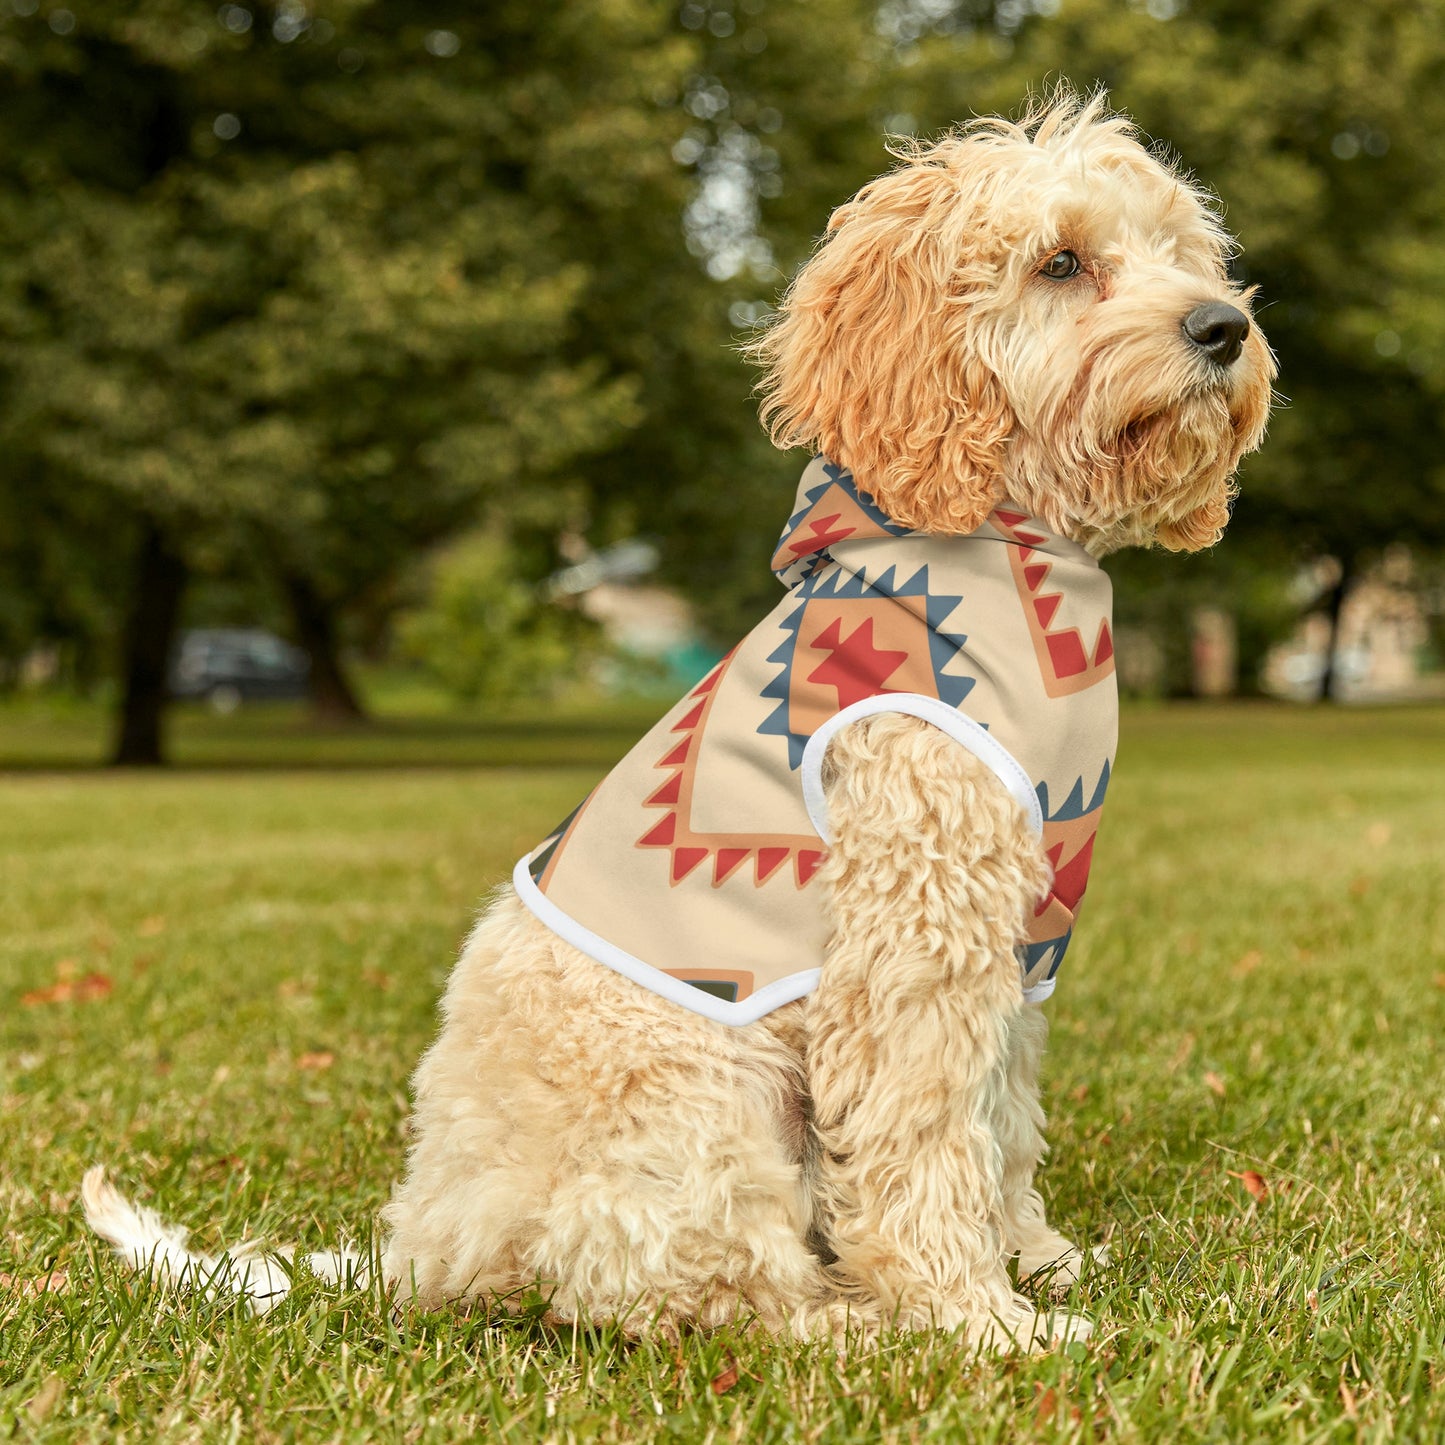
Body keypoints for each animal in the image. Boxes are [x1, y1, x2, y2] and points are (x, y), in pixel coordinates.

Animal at [84, 93, 1271, 1352]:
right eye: (1060, 262)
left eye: (1181, 252)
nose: (1222, 327)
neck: (1007, 545)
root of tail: (425, 1244)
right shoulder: (912, 938)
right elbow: (924, 1138)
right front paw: (976, 1318)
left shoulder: (1018, 937)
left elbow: (999, 1120)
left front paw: (1034, 1259)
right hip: (705, 1097)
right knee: (698, 1290)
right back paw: (852, 1322)